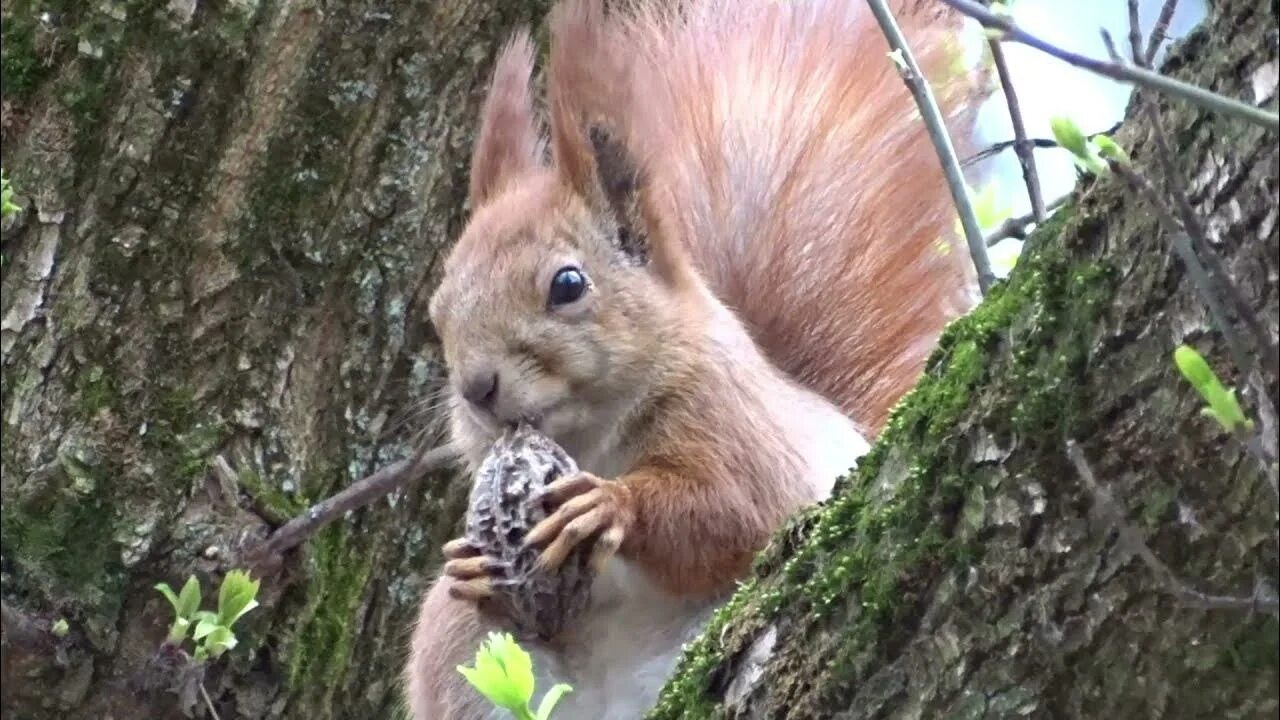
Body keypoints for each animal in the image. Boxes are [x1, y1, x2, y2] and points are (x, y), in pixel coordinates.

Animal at [404, 2, 983, 712]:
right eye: (438, 313)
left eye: (567, 284)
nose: (476, 389)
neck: (592, 441)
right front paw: (471, 565)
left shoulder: (739, 424)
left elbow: (737, 511)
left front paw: (609, 505)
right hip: (459, 652)